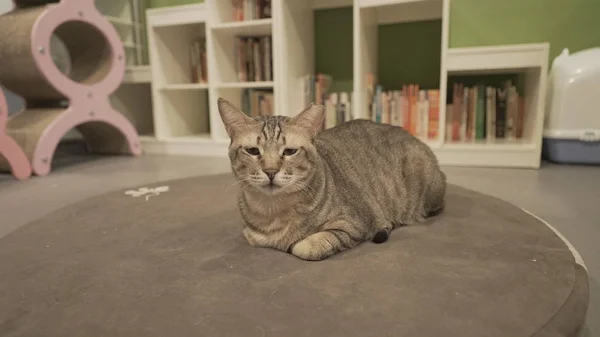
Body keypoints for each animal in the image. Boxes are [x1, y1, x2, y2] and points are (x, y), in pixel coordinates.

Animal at [217, 97, 446, 260]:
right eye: (253, 151)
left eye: (290, 151)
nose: (271, 171)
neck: (273, 211)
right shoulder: (251, 235)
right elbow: (253, 238)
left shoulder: (353, 223)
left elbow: (305, 247)